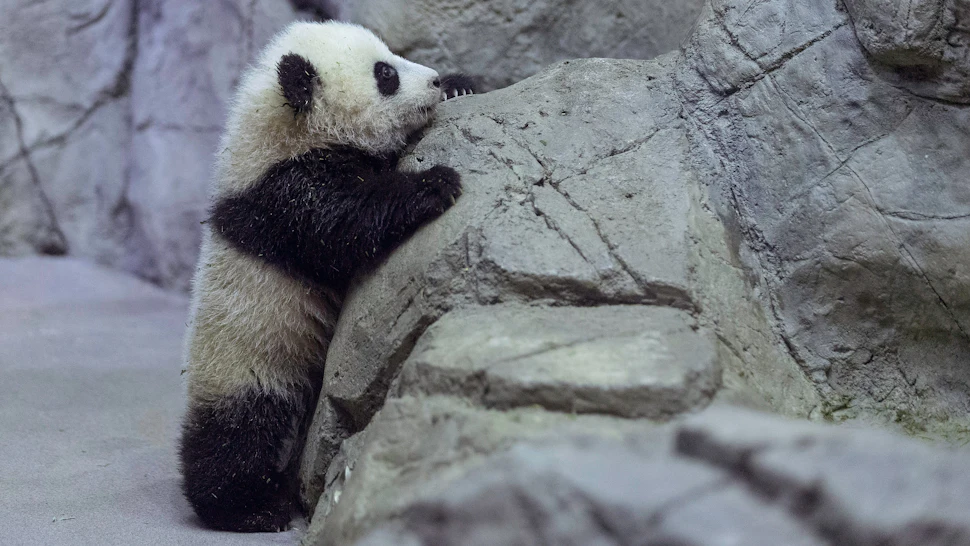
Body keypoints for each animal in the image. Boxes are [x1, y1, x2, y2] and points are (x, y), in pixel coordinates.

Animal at [178, 21, 475, 533]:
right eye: (384, 74)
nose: (434, 80)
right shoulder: (284, 196)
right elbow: (344, 224)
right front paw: (435, 183)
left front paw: (463, 84)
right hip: (248, 358)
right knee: (239, 433)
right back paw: (248, 508)